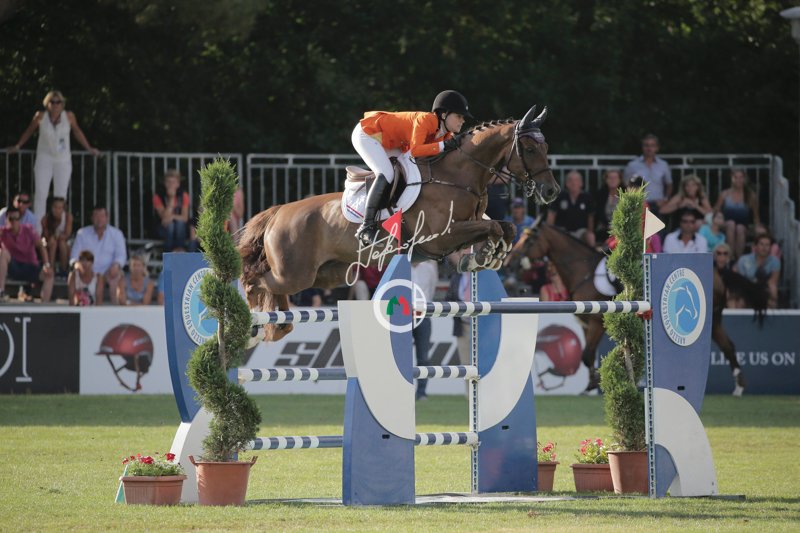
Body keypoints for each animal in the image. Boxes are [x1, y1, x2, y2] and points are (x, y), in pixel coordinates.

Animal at [239, 106, 560, 342]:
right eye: (530, 149)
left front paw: (487, 256)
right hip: (294, 273)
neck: (458, 175)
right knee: (254, 280)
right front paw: (484, 256)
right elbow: (493, 227)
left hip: (325, 274)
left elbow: (505, 227)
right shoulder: (440, 238)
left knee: (275, 288)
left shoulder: (464, 228)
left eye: (546, 148)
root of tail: (279, 211)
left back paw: (279, 326)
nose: (551, 191)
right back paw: (253, 322)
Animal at [504, 221, 748, 395]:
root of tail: (717, 273)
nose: (509, 263)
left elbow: (587, 354)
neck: (582, 271)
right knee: (729, 346)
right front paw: (591, 384)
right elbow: (587, 356)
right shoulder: (585, 324)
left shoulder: (596, 323)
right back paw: (738, 387)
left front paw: (594, 383)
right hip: (715, 320)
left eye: (528, 240)